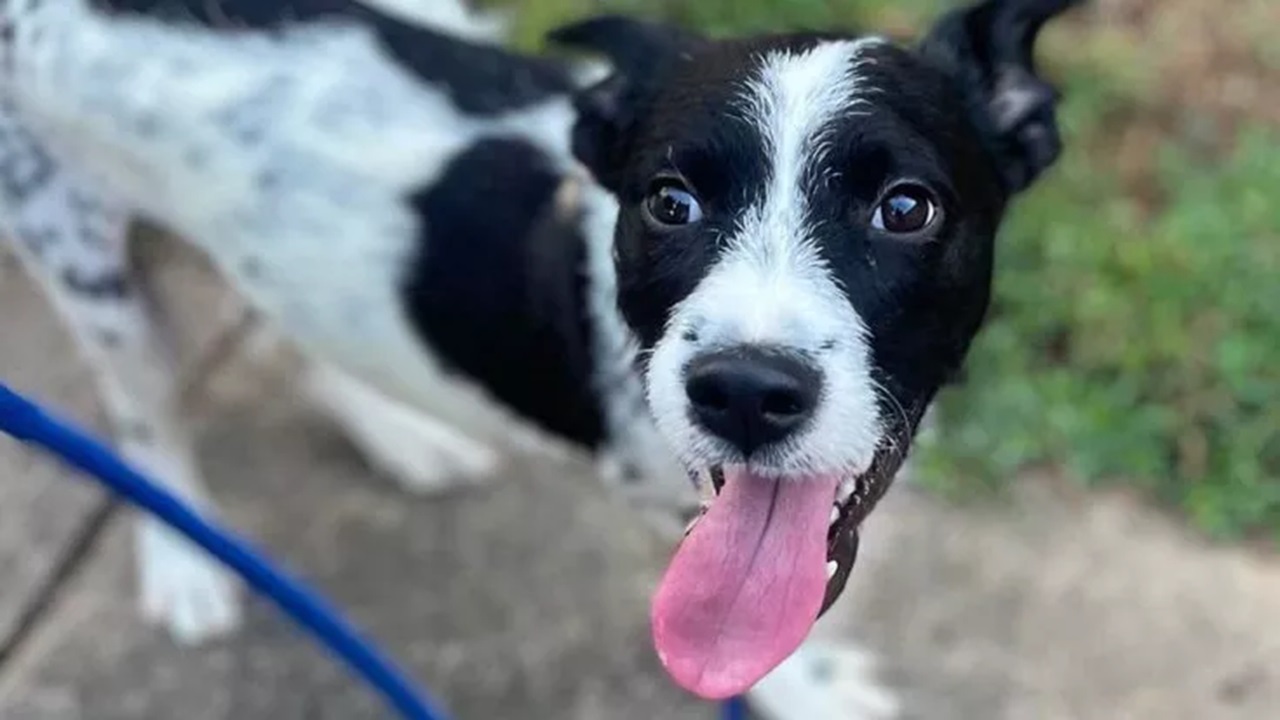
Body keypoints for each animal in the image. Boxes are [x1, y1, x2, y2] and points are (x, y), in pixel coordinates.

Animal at [0, 0, 1080, 702]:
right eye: (667, 200)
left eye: (905, 207)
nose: (740, 393)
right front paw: (810, 689)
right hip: (79, 258)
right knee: (145, 419)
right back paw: (185, 558)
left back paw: (398, 436)